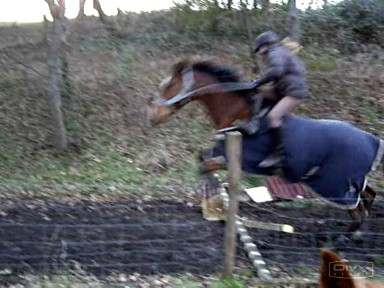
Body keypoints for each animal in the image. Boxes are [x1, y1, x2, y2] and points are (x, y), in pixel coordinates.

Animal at [146, 59, 382, 248]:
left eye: (169, 85)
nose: (154, 116)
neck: (238, 114)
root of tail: (373, 141)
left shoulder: (234, 159)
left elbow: (205, 165)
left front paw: (213, 204)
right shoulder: (219, 152)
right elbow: (202, 159)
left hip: (336, 184)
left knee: (357, 210)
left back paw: (340, 240)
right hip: (351, 181)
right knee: (368, 197)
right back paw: (356, 234)